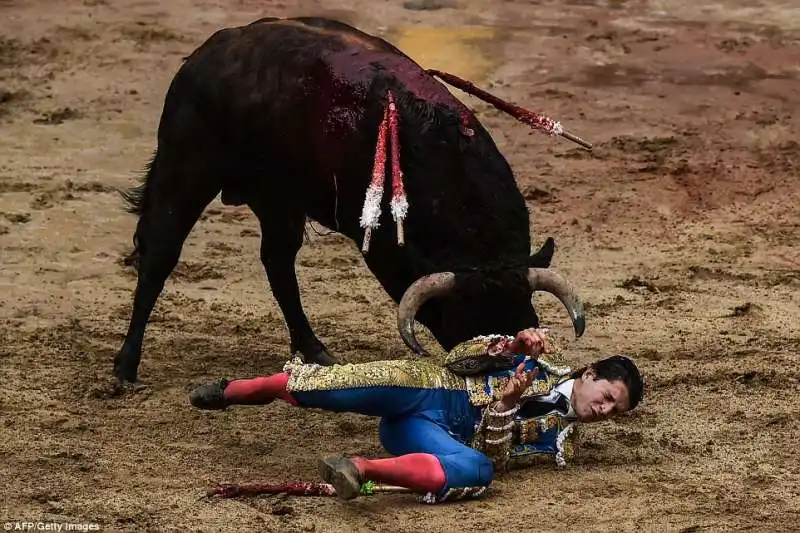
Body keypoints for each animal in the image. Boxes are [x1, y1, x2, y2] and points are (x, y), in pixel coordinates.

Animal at [114, 15, 588, 382]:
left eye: (525, 323)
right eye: (468, 325)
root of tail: (208, 51)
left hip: (278, 199)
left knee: (278, 264)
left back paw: (314, 349)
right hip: (186, 167)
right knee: (160, 255)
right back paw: (125, 366)